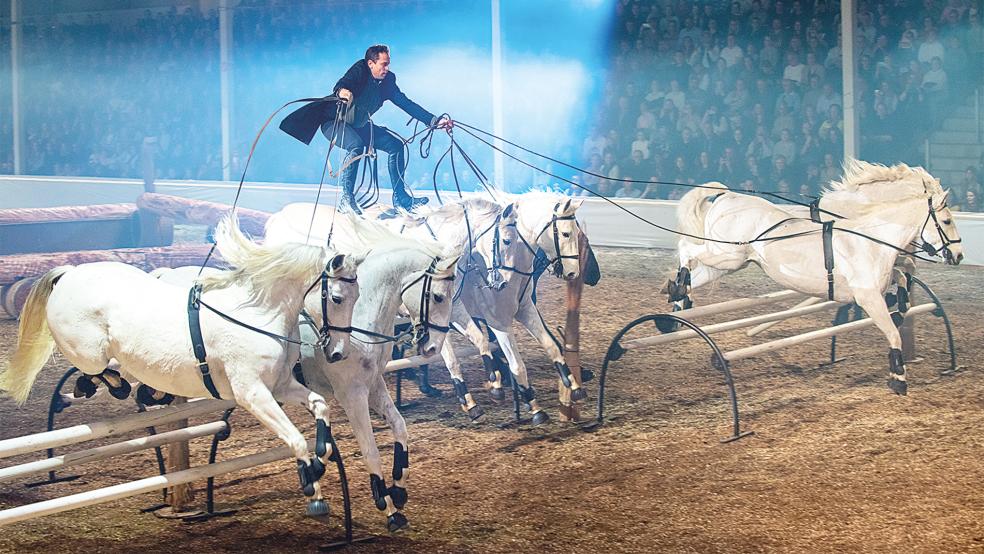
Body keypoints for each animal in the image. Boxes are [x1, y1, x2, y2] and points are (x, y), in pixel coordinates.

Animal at [0, 215, 362, 512]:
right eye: (337, 298)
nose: (338, 353)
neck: (258, 313)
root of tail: (69, 273)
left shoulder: (281, 386)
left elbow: (319, 405)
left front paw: (321, 457)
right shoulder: (254, 395)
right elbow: (295, 439)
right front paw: (311, 486)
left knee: (112, 373)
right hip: (88, 350)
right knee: (98, 371)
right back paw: (109, 388)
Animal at [264, 207, 460, 532]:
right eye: (438, 296)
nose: (433, 348)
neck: (357, 329)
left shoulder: (374, 385)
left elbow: (400, 427)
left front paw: (399, 488)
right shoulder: (351, 395)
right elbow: (369, 449)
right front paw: (388, 507)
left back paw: (314, 491)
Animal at [668, 160, 960, 392]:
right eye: (947, 221)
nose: (958, 255)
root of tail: (726, 198)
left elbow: (903, 274)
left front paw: (898, 304)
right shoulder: (868, 291)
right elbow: (895, 312)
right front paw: (898, 377)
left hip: (727, 262)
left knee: (694, 272)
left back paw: (677, 305)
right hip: (726, 255)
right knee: (686, 249)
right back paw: (677, 292)